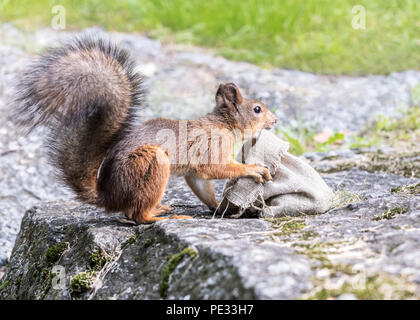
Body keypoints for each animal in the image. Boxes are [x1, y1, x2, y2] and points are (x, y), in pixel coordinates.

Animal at [13, 37, 276, 222]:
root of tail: (109, 197)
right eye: (257, 109)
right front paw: (253, 169)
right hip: (151, 164)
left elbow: (200, 183)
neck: (224, 125)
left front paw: (220, 207)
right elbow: (216, 168)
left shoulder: (195, 172)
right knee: (138, 217)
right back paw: (167, 217)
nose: (275, 120)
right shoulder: (211, 146)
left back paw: (161, 208)